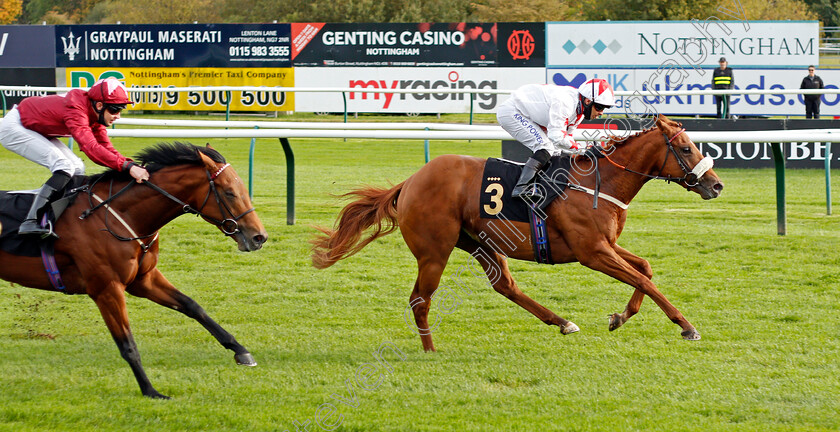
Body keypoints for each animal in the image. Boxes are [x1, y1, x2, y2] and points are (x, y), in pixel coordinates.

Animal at [0, 143, 268, 400]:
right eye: (229, 192)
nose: (259, 237)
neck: (121, 215)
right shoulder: (107, 289)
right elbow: (128, 344)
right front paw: (151, 391)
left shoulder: (144, 279)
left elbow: (193, 306)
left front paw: (241, 351)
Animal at [314, 115, 720, 352]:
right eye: (686, 148)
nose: (716, 186)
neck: (597, 183)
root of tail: (410, 181)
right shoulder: (592, 252)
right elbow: (644, 279)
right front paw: (686, 326)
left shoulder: (607, 245)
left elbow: (645, 269)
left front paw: (620, 317)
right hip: (434, 251)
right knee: (419, 299)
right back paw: (429, 350)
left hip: (479, 244)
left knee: (505, 286)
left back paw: (563, 322)